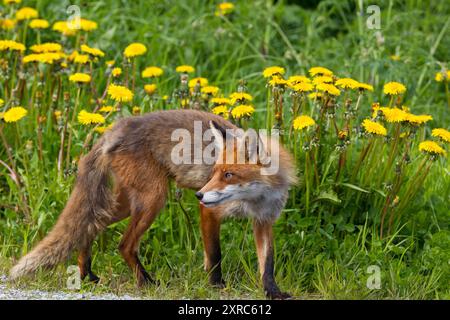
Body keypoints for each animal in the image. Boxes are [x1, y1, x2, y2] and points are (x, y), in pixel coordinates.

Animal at [9, 110, 296, 300]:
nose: (199, 194)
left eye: (228, 175)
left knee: (91, 225)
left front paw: (273, 292)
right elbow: (215, 255)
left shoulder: (264, 221)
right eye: (214, 172)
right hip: (154, 199)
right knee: (123, 244)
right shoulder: (210, 211)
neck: (252, 200)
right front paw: (216, 286)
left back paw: (86, 273)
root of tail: (119, 126)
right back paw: (145, 283)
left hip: (126, 204)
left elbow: (268, 263)